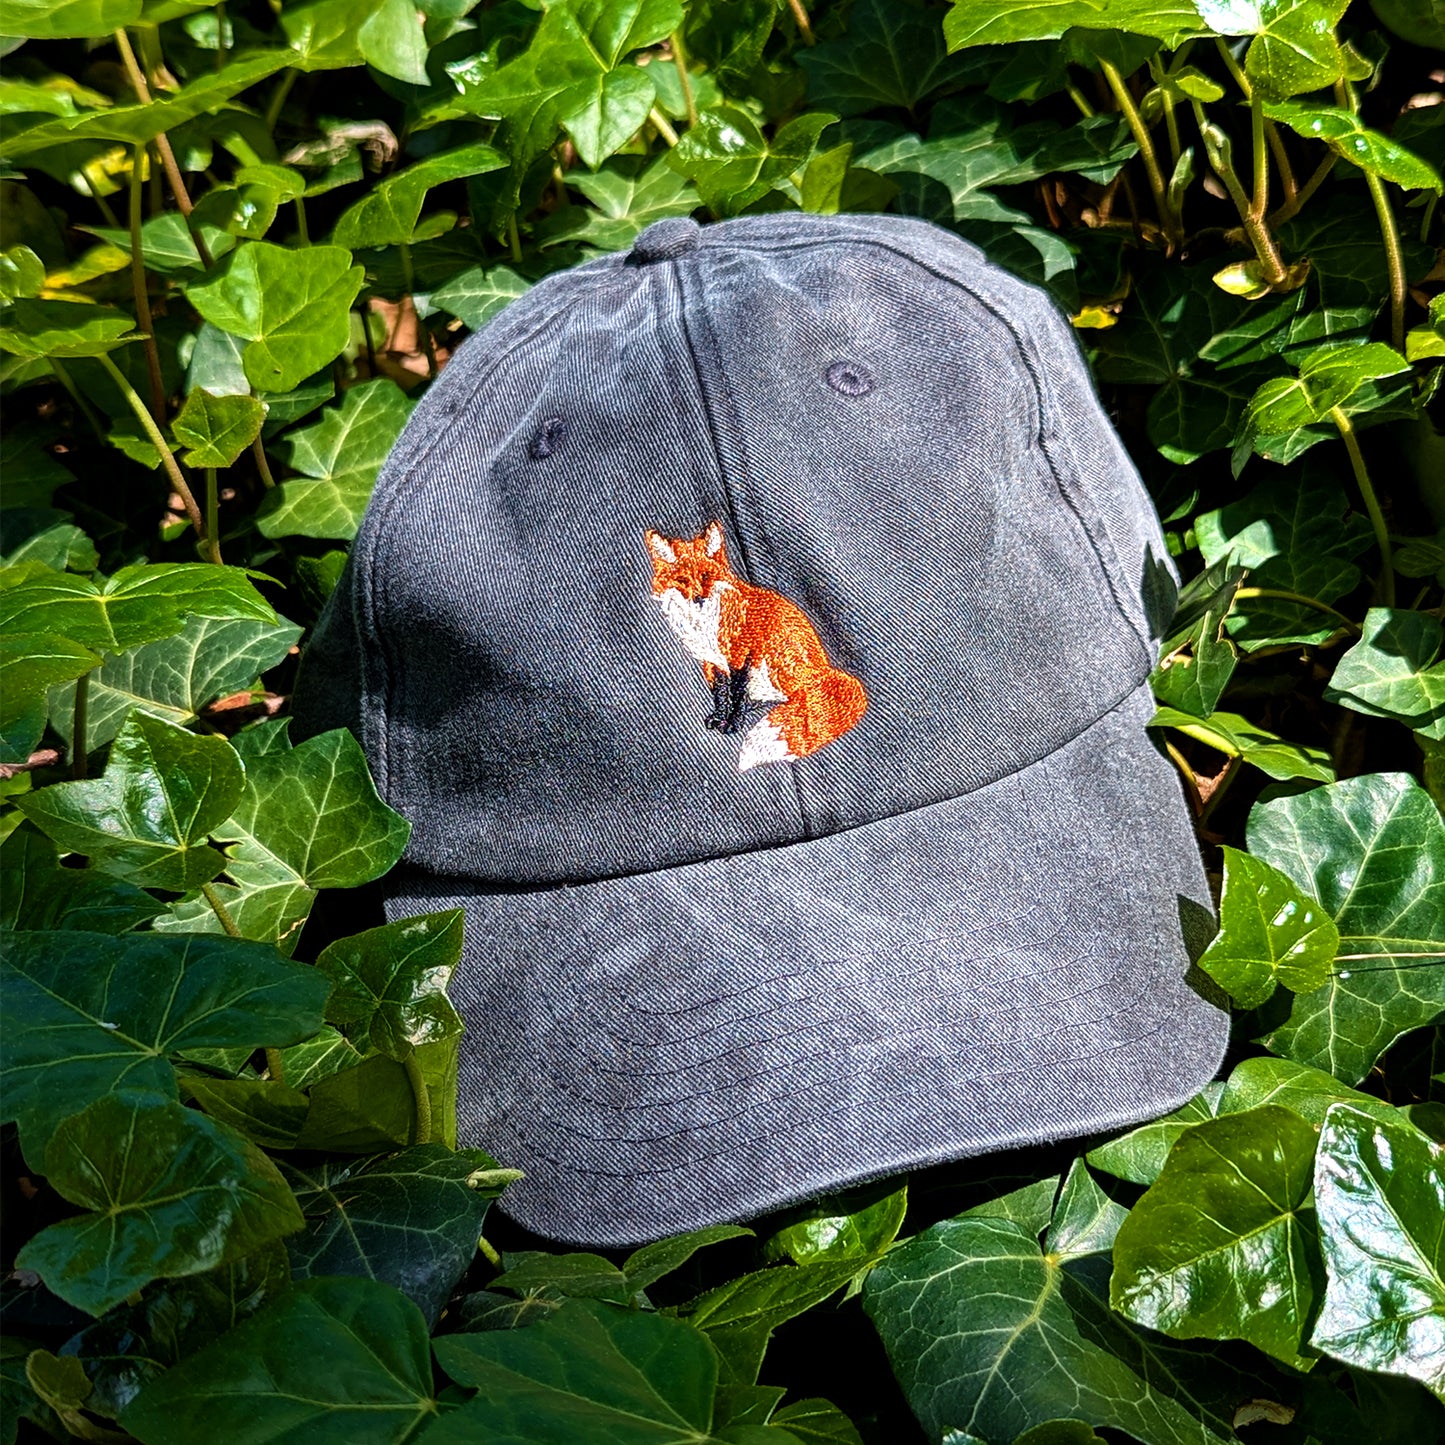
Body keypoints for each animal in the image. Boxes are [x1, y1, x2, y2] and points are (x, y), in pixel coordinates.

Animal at [644, 521, 867, 771]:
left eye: (706, 576)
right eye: (682, 580)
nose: (698, 599)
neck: (704, 623)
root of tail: (826, 669)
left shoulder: (740, 655)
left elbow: (737, 693)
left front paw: (732, 722)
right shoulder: (712, 662)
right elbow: (720, 692)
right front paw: (719, 716)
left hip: (776, 661)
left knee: (800, 697)